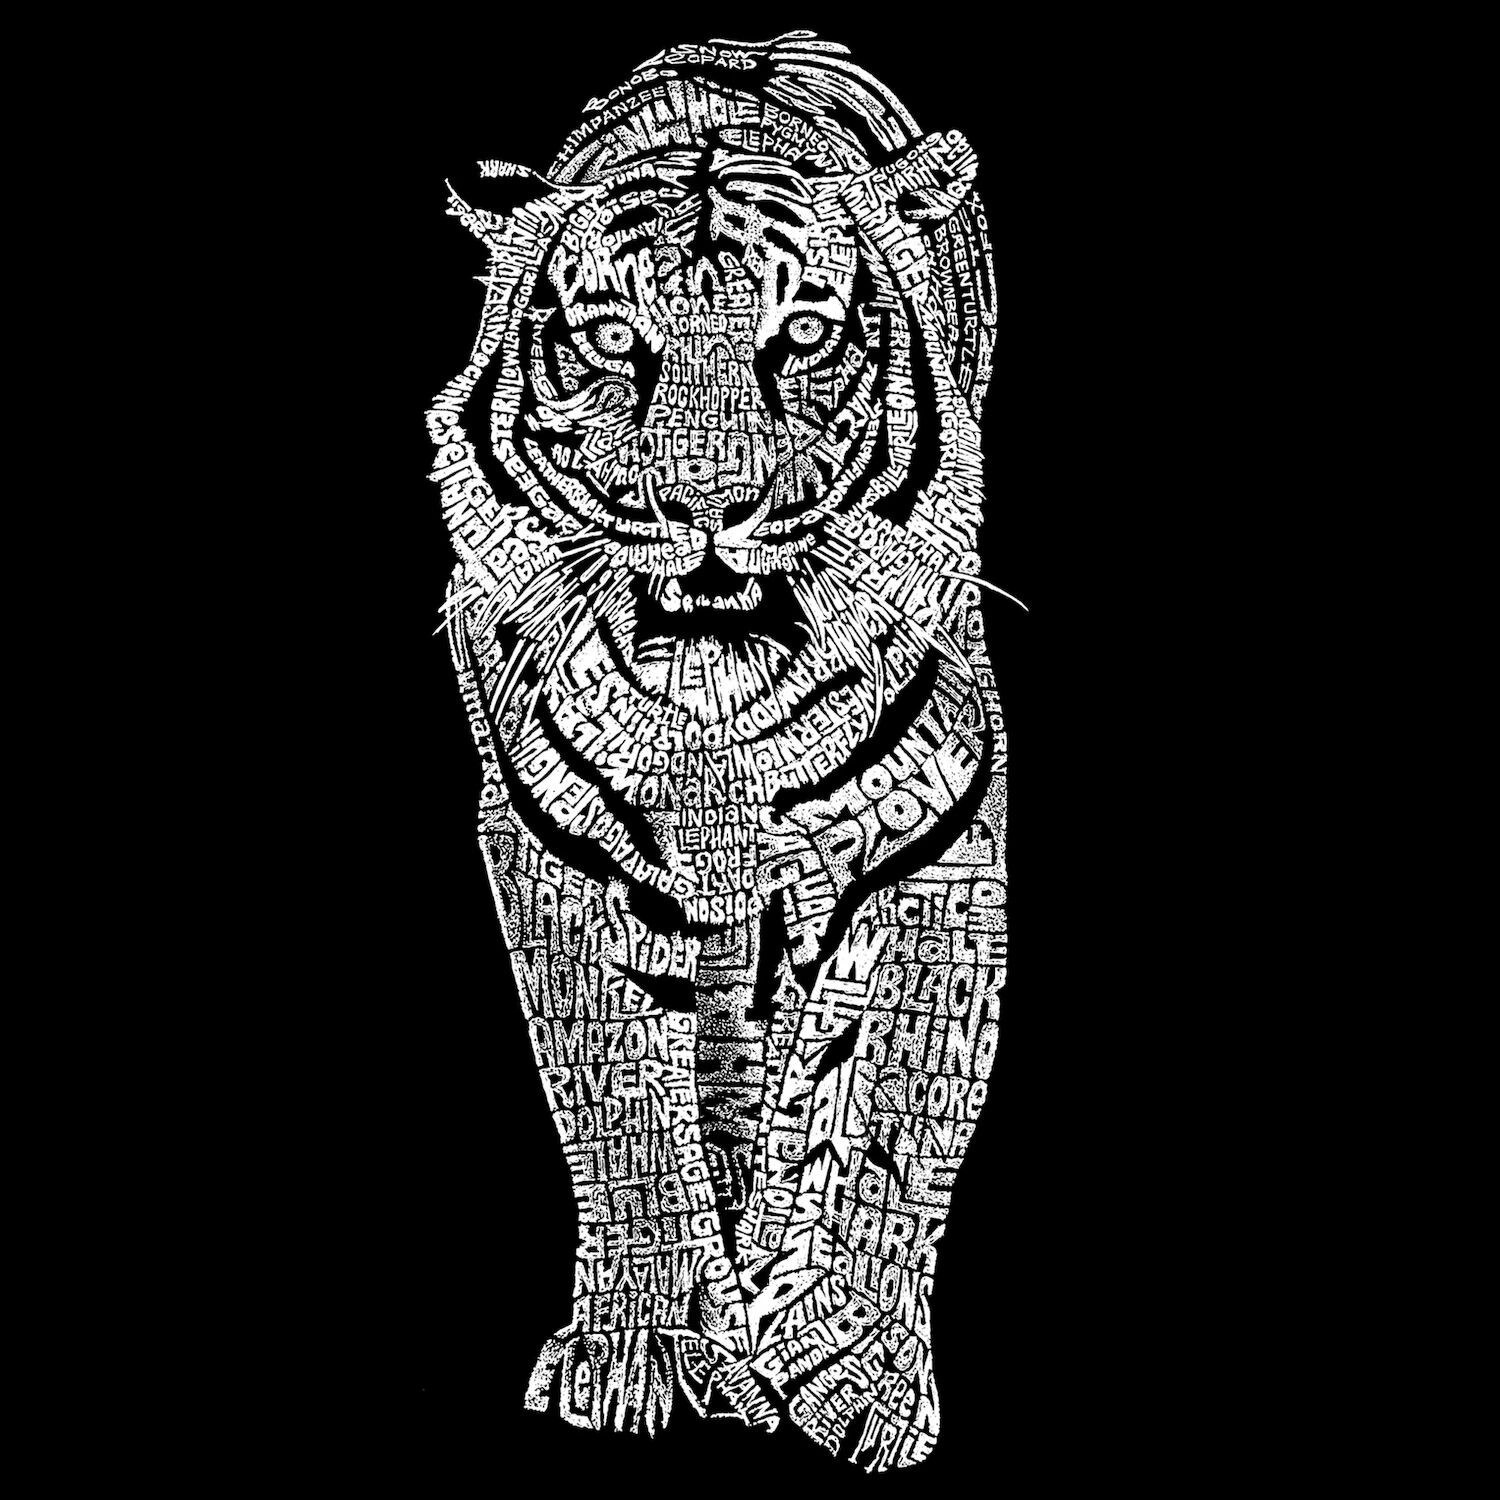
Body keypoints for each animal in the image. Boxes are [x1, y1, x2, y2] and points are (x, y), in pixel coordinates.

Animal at [425, 32, 1008, 1472]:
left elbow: (889, 1106)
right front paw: (642, 1350)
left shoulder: (937, 841)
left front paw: (856, 1374)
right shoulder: (553, 851)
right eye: (612, 340)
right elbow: (624, 1107)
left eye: (799, 333)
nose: (706, 505)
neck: (715, 720)